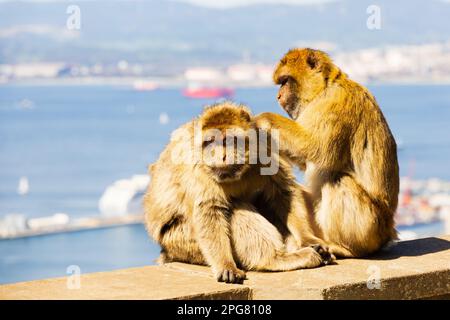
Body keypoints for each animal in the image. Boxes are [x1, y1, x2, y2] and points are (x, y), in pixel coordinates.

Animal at [144, 101, 334, 284]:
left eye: (229, 140)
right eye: (211, 142)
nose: (221, 156)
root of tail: (167, 251)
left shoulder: (264, 143)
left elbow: (283, 192)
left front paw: (309, 239)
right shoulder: (195, 165)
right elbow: (210, 210)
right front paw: (225, 265)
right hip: (184, 242)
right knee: (235, 208)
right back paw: (276, 259)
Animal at [255, 48, 400, 258]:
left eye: (285, 81)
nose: (279, 95)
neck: (324, 88)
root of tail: (389, 231)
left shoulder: (335, 102)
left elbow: (315, 147)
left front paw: (261, 119)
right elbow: (306, 159)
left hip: (371, 228)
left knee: (337, 180)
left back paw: (344, 248)